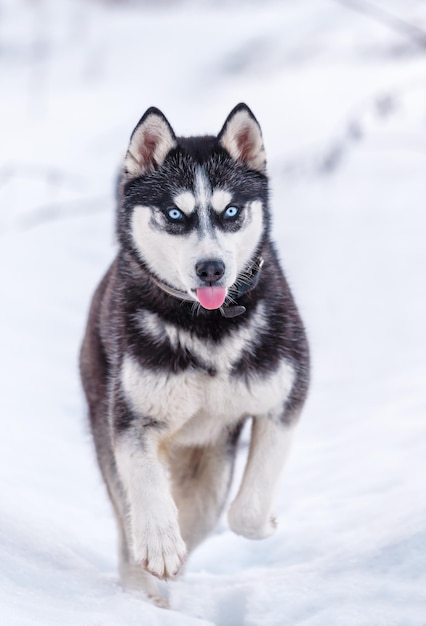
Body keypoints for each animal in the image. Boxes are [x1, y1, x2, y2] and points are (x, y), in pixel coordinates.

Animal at [80, 103, 310, 604]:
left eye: (231, 211)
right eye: (174, 213)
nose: (211, 268)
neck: (208, 328)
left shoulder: (284, 399)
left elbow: (247, 510)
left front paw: (265, 522)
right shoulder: (133, 419)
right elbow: (145, 490)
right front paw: (160, 546)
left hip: (209, 477)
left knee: (197, 515)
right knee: (130, 521)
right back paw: (145, 587)